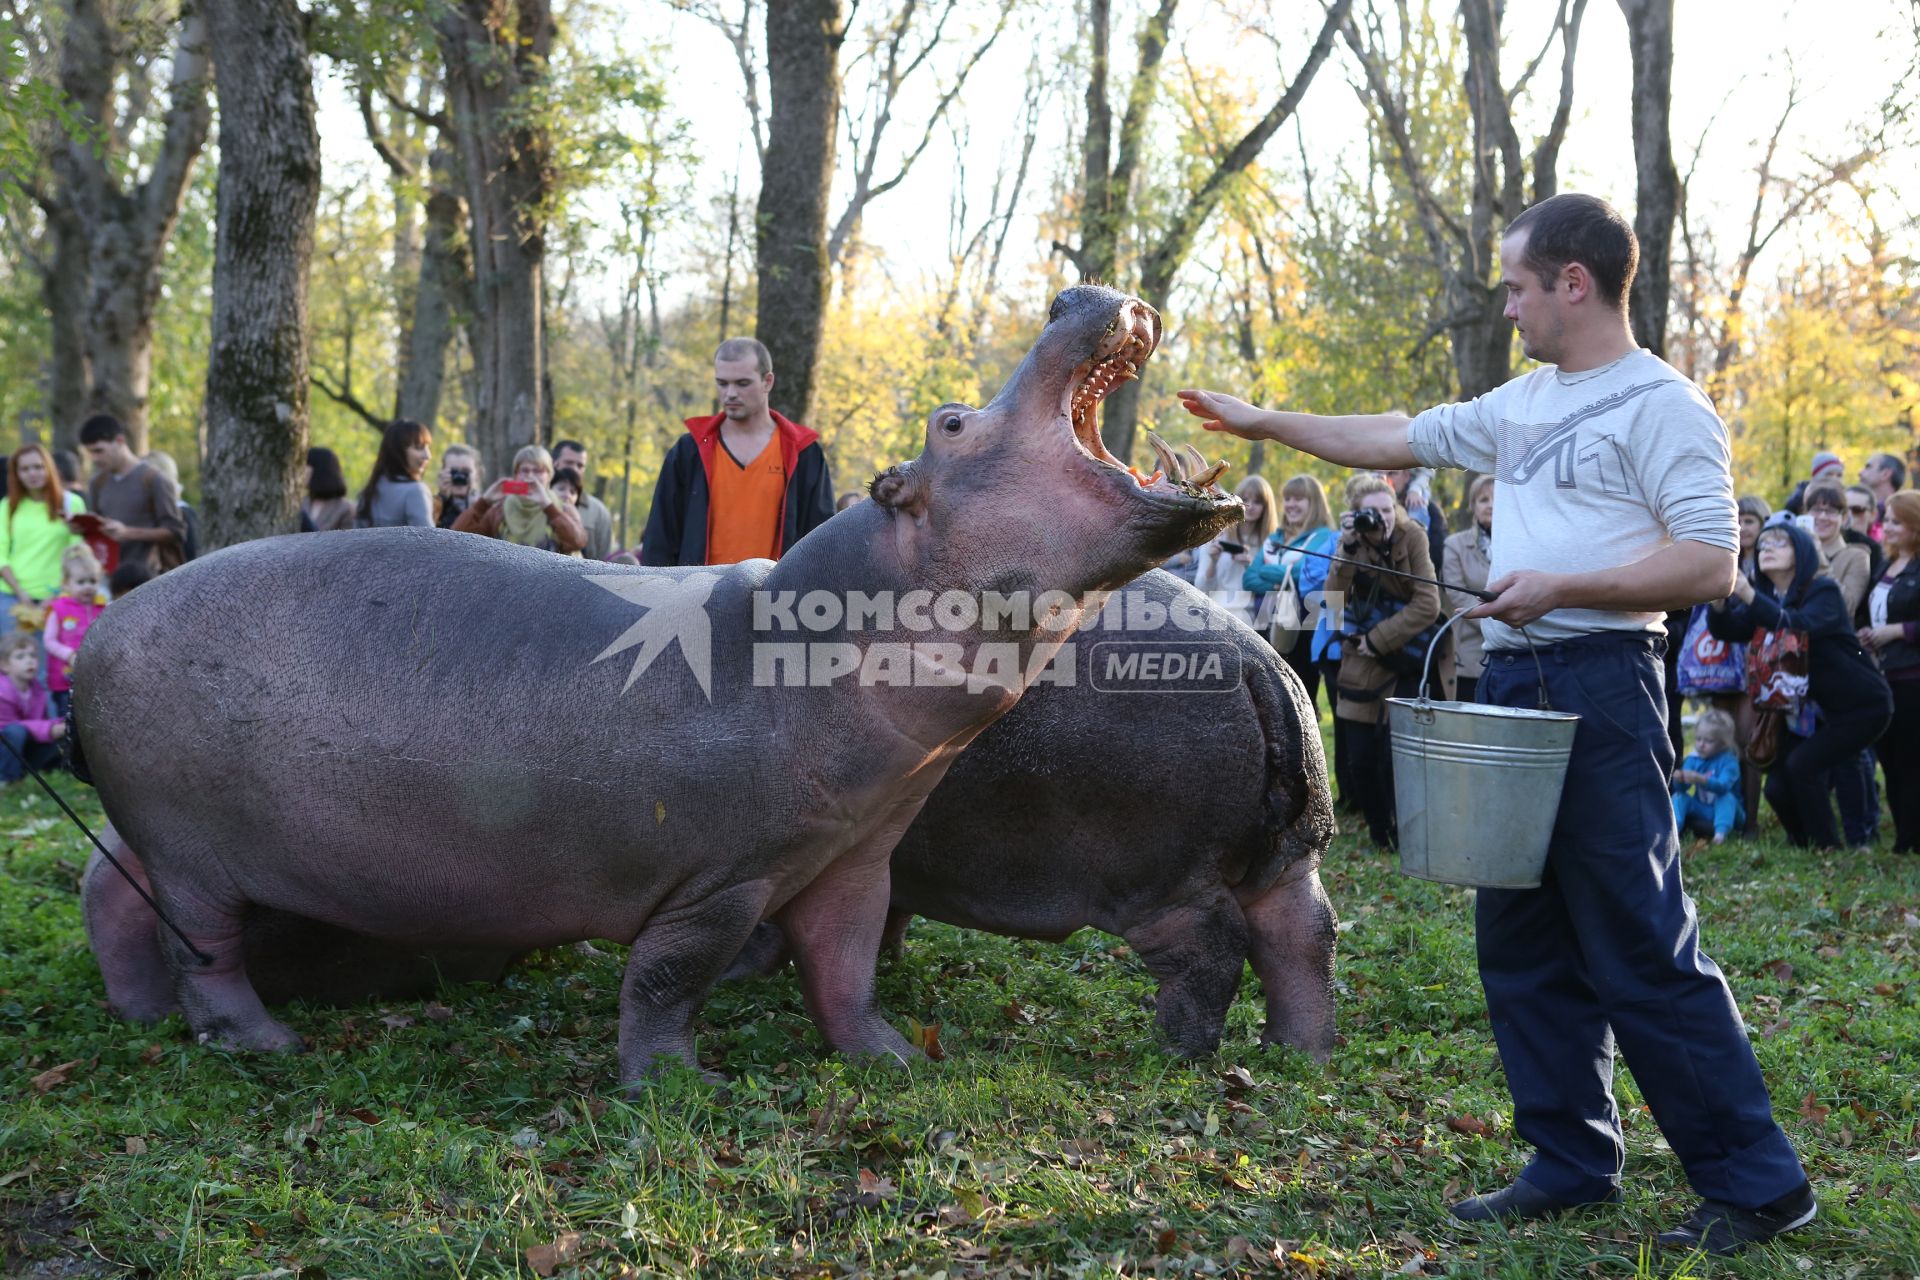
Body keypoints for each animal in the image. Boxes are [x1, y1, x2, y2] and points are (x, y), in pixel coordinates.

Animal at [67, 287, 1236, 1082]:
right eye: (951, 421)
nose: (1074, 294)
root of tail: (104, 627)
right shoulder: (719, 877)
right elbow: (671, 976)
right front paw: (677, 1083)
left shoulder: (855, 859)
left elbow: (847, 971)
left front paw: (895, 1059)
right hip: (196, 855)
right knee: (202, 951)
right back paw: (265, 1041)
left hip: (162, 837)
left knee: (109, 891)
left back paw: (138, 1015)